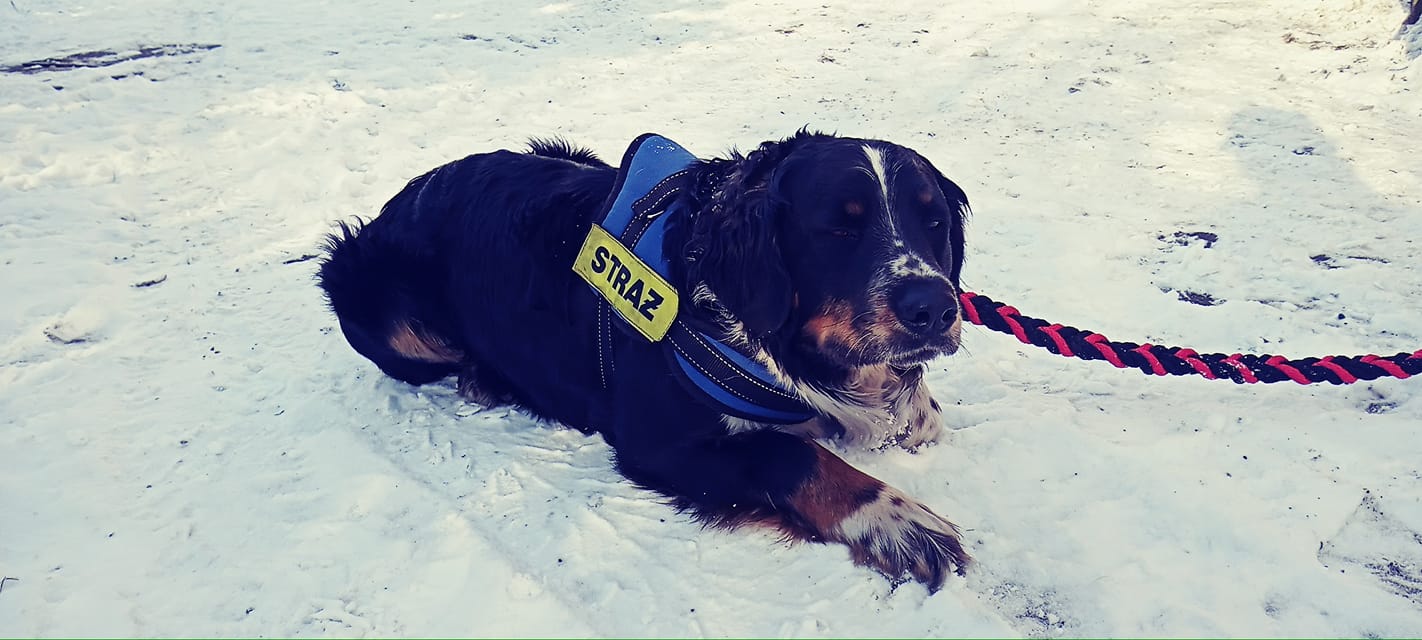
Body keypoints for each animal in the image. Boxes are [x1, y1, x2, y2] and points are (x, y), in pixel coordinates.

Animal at [317, 128, 972, 588]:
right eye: (838, 230)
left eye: (934, 222)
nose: (935, 309)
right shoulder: (658, 443)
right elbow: (792, 454)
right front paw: (897, 522)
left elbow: (915, 415)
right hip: (363, 288)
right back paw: (485, 377)